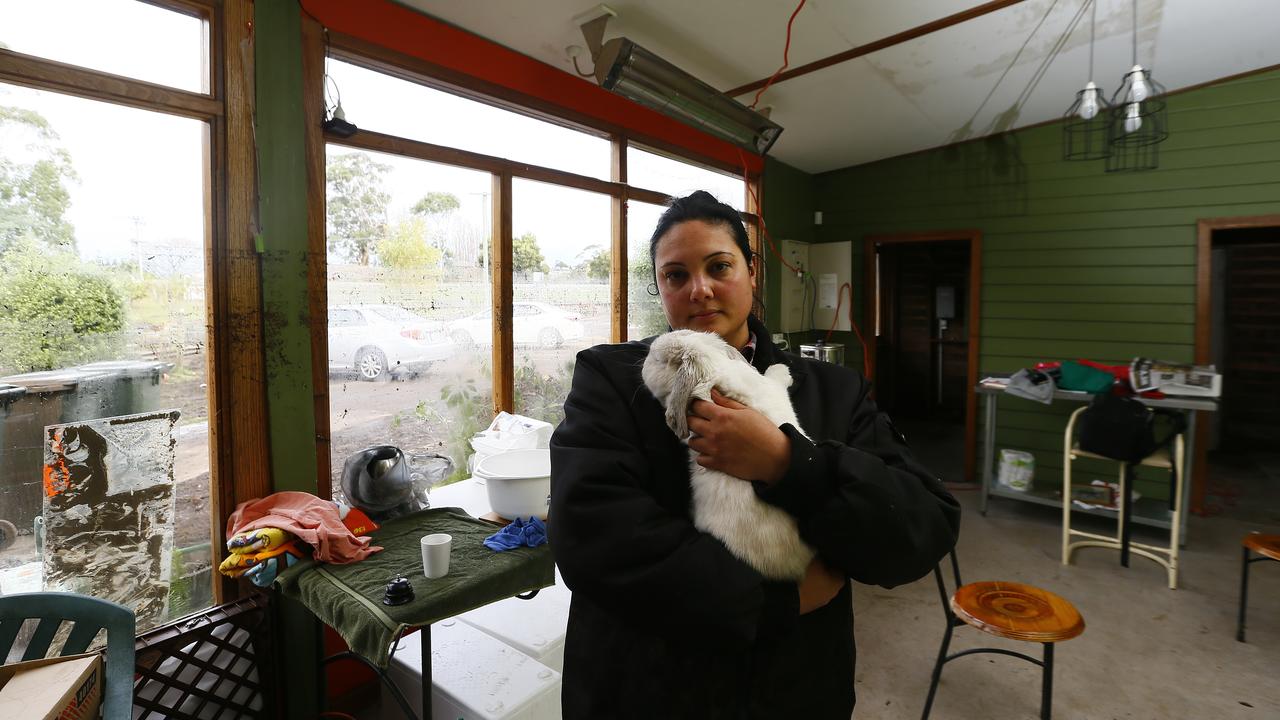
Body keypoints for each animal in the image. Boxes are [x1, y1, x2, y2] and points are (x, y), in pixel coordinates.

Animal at [645, 330, 814, 576]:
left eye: (658, 360)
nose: (647, 352)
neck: (713, 367)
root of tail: (792, 567)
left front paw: (783, 369)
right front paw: (783, 369)